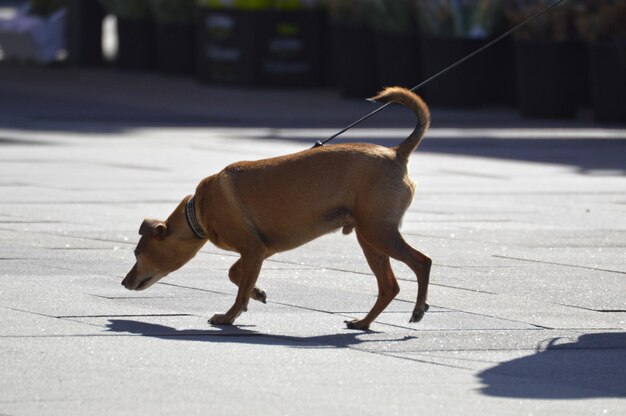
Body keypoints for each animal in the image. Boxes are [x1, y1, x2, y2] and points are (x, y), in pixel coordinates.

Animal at [122, 87, 428, 328]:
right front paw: (256, 294)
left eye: (137, 253)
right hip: (369, 237)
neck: (198, 210)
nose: (124, 282)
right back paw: (363, 322)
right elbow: (236, 274)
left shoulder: (253, 248)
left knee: (422, 262)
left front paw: (229, 316)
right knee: (389, 286)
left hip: (378, 232)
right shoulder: (262, 249)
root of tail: (396, 152)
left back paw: (417, 309)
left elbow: (239, 287)